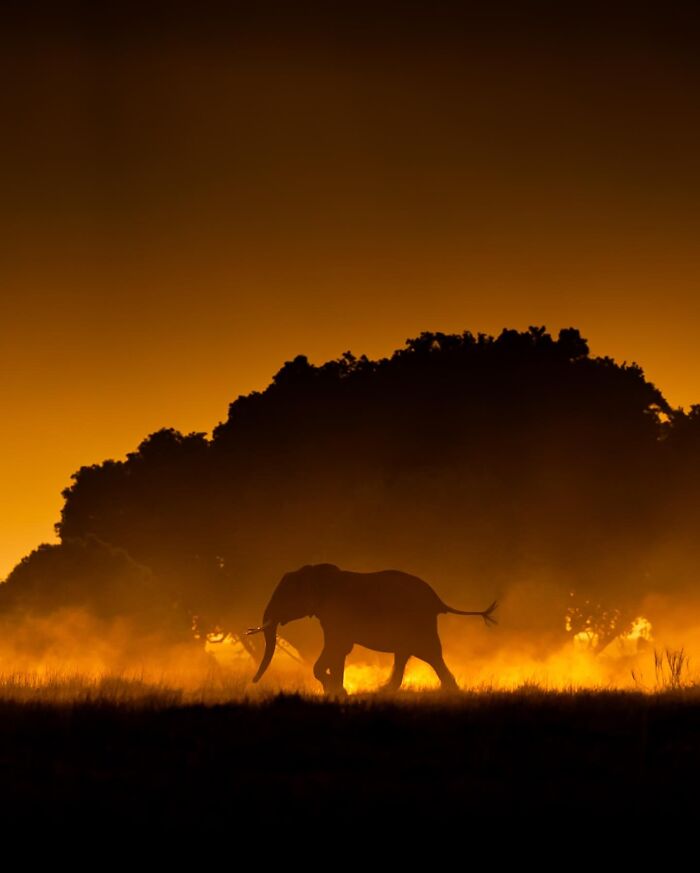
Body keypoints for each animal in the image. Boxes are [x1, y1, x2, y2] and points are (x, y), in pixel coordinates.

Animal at [247, 563, 497, 696]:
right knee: (410, 655)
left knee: (430, 654)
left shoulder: (337, 613)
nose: (253, 682)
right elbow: (339, 651)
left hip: (419, 622)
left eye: (285, 597)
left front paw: (336, 690)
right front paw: (336, 692)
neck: (317, 574)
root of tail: (438, 601)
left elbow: (337, 647)